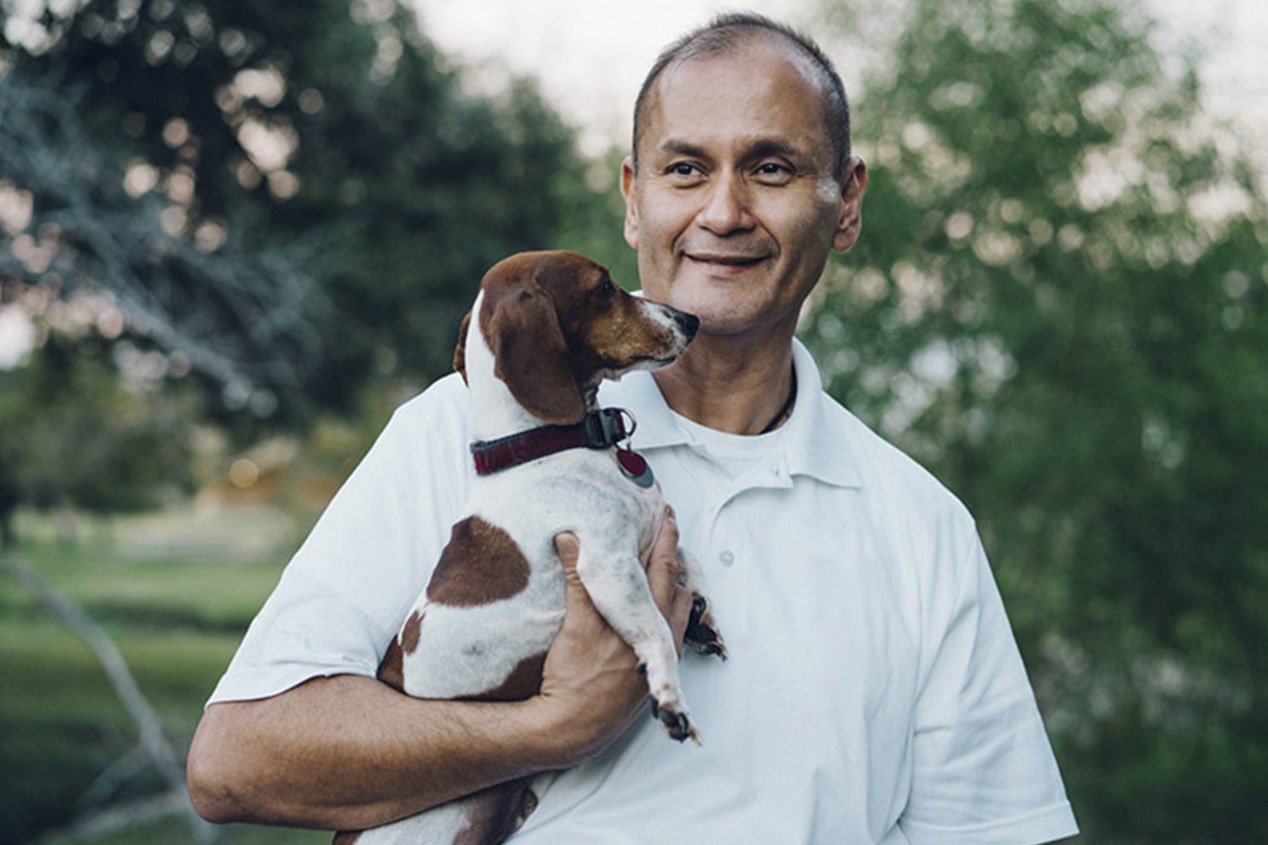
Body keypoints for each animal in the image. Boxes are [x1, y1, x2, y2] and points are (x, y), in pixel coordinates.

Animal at [337, 249, 730, 842]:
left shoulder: (649, 532)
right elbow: (658, 633)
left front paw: (703, 620)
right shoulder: (609, 566)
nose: (691, 319)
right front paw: (670, 699)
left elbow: (693, 562)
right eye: (604, 288)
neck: (545, 446)